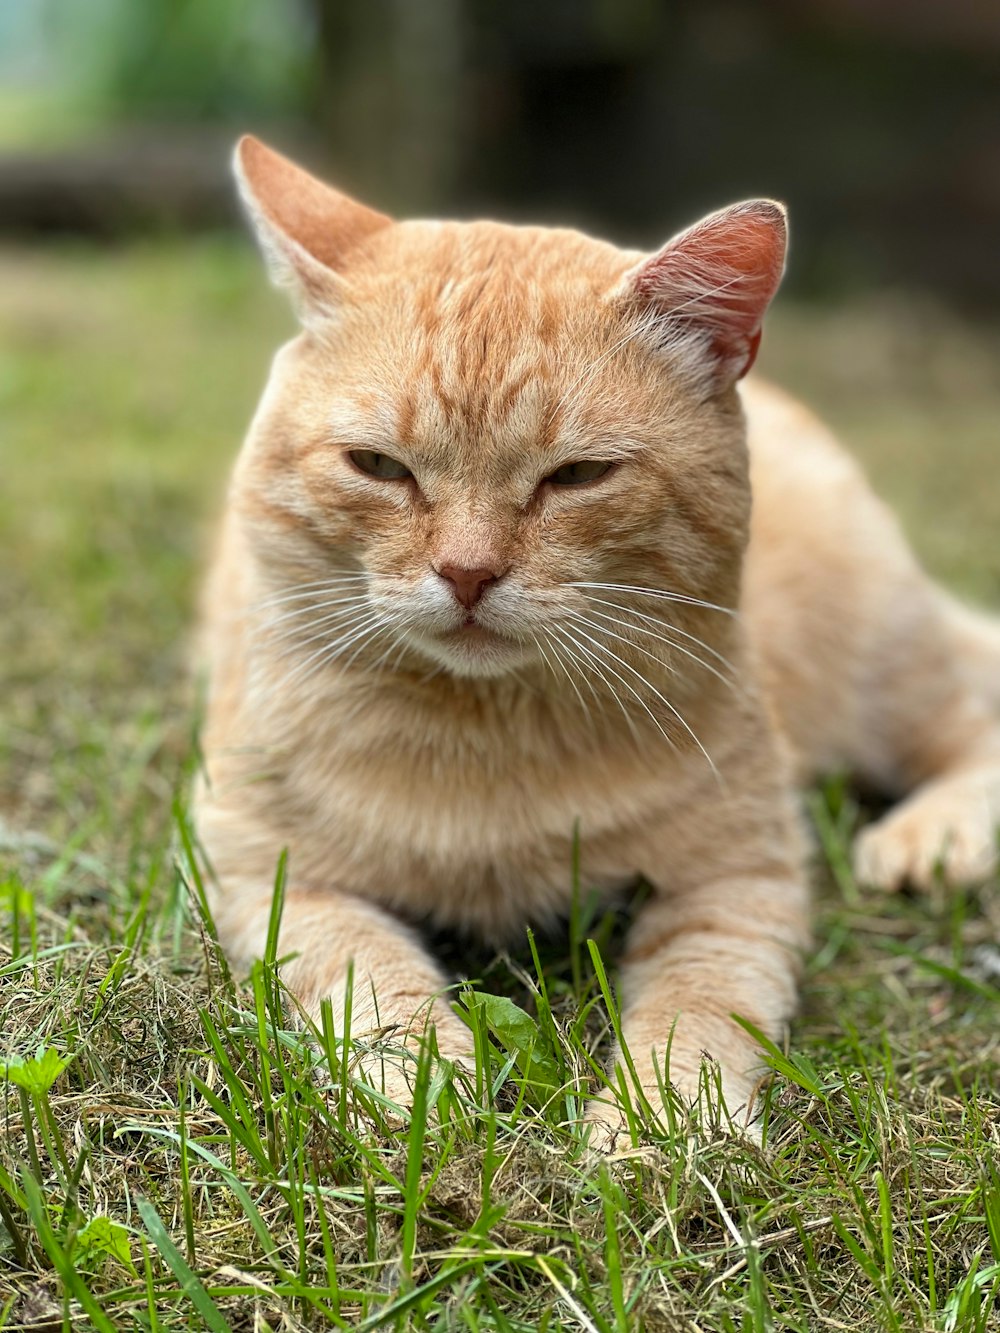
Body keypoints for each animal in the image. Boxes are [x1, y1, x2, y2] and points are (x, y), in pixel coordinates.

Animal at [193, 137, 1000, 1146]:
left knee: (972, 717)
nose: (466, 573)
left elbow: (698, 1009)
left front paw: (662, 1128)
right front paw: (421, 1083)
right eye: (378, 466)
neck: (488, 737)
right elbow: (362, 972)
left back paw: (934, 835)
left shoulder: (738, 884)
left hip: (883, 665)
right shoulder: (269, 872)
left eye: (577, 476)